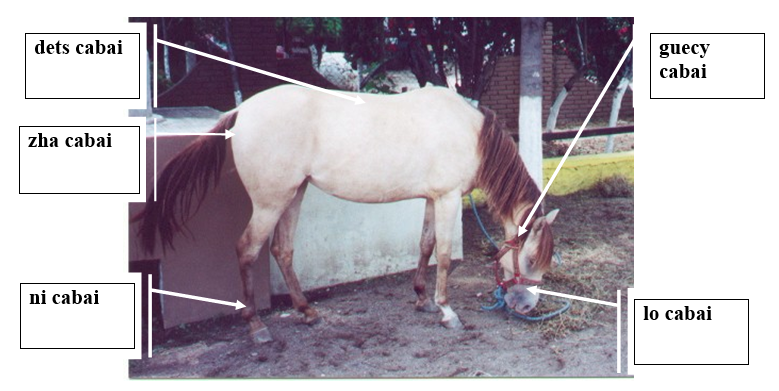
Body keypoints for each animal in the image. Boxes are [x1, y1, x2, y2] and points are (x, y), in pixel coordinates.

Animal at [136, 85, 560, 344]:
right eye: (530, 259)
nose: (526, 306)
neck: (470, 132)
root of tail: (242, 109)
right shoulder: (448, 198)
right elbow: (441, 255)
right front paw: (446, 311)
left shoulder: (432, 198)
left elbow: (424, 246)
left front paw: (422, 299)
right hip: (271, 202)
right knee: (247, 250)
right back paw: (256, 326)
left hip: (294, 195)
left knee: (282, 250)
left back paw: (307, 312)